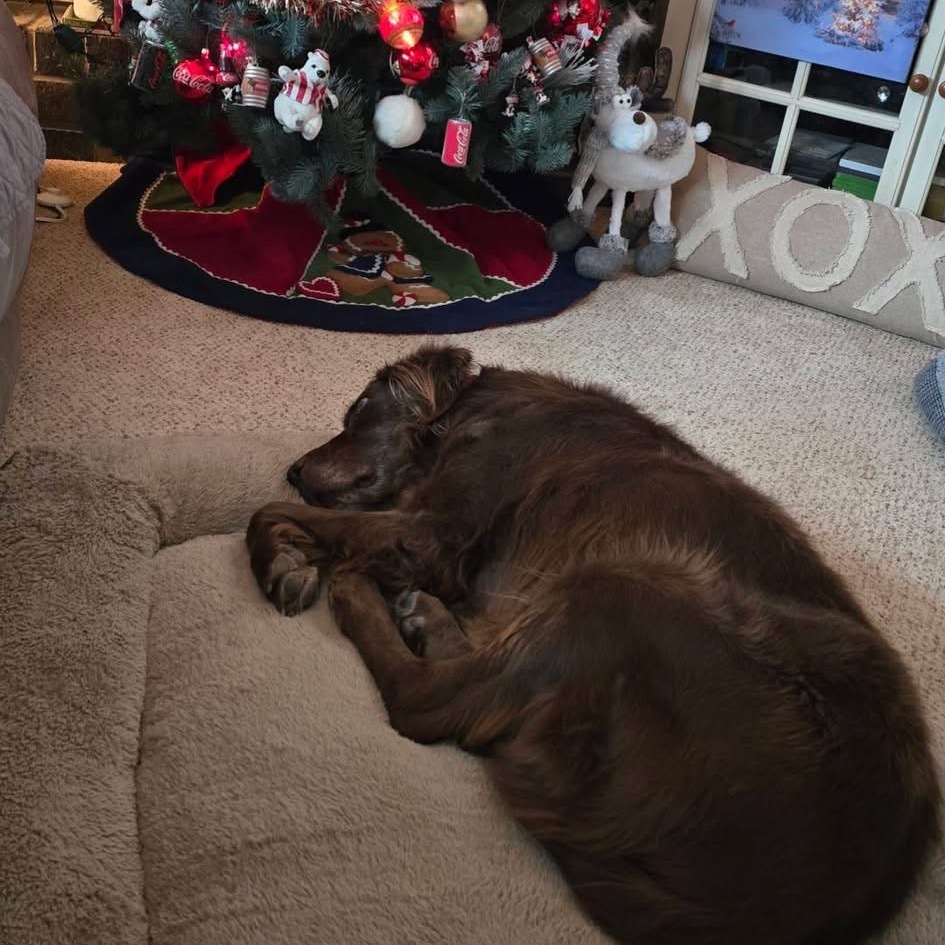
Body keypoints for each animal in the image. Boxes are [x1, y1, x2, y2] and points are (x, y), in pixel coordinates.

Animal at [247, 346, 940, 944]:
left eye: (358, 412)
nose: (294, 469)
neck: (469, 413)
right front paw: (295, 557)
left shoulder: (436, 533)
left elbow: (267, 514)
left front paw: (285, 558)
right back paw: (420, 614)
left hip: (621, 586)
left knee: (430, 703)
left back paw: (363, 596)